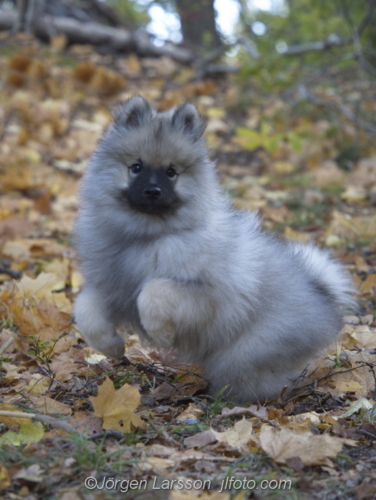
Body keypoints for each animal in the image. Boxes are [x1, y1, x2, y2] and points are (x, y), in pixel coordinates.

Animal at [74, 96, 356, 402]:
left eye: (171, 172)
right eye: (136, 167)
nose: (152, 191)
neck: (147, 236)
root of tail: (322, 296)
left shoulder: (207, 296)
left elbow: (154, 292)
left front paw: (160, 334)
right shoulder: (113, 287)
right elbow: (85, 309)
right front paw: (111, 346)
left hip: (243, 353)